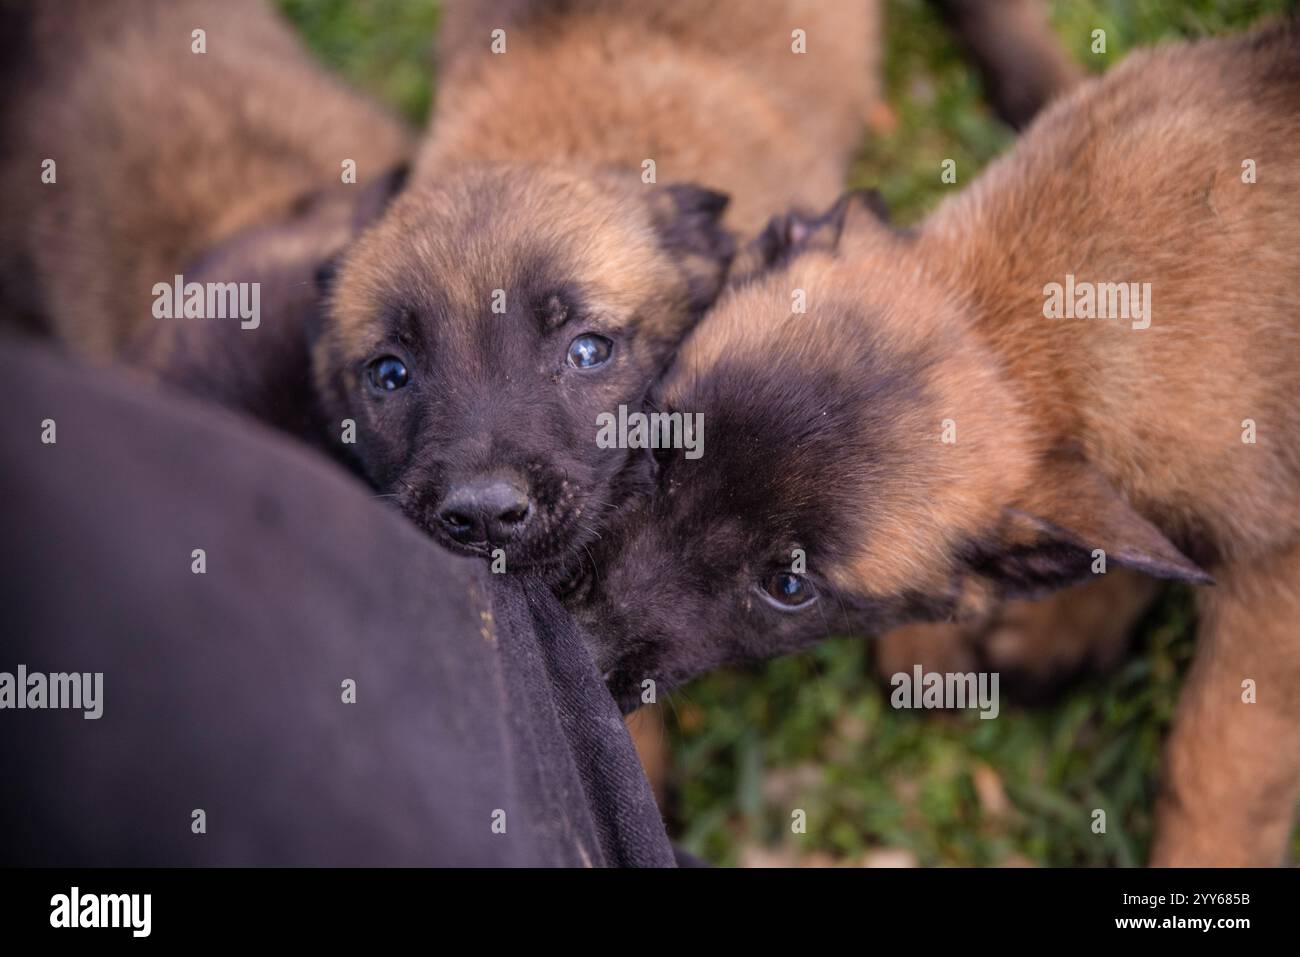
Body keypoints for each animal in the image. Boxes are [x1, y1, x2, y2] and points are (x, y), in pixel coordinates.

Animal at [566, 20, 1300, 868]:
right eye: (660, 445)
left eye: (788, 587)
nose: (573, 651)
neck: (1038, 321)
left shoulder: (1276, 584)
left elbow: (1215, 767)